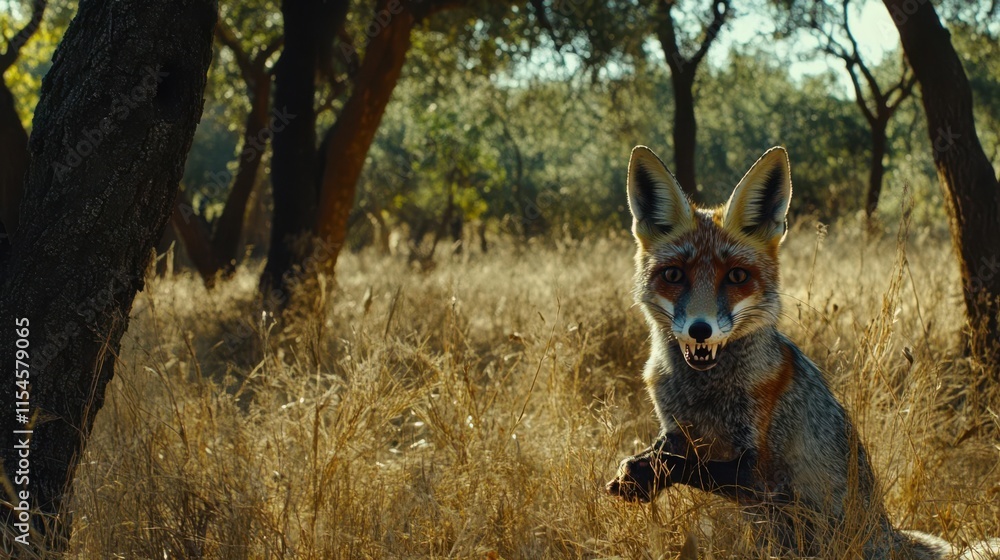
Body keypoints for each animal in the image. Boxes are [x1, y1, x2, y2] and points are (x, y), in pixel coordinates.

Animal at [605, 146, 997, 559]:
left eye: (737, 276)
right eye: (674, 275)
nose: (700, 329)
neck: (704, 395)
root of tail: (883, 529)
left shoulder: (762, 473)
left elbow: (694, 466)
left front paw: (640, 475)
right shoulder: (676, 429)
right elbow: (670, 454)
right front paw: (637, 472)